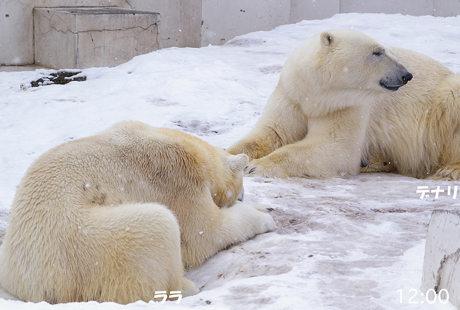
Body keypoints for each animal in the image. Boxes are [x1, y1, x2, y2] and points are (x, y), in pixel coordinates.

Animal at [0, 120, 274, 302]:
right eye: (242, 180)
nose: (243, 195)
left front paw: (264, 205)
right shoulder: (178, 177)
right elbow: (204, 233)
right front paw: (265, 218)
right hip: (84, 246)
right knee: (159, 225)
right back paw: (186, 286)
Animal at [228, 29, 460, 179]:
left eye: (387, 51)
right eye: (378, 52)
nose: (407, 75)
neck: (316, 97)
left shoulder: (348, 106)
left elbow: (334, 147)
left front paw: (255, 167)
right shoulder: (291, 96)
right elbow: (271, 134)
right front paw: (230, 157)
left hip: (443, 99)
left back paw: (449, 169)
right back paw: (374, 161)